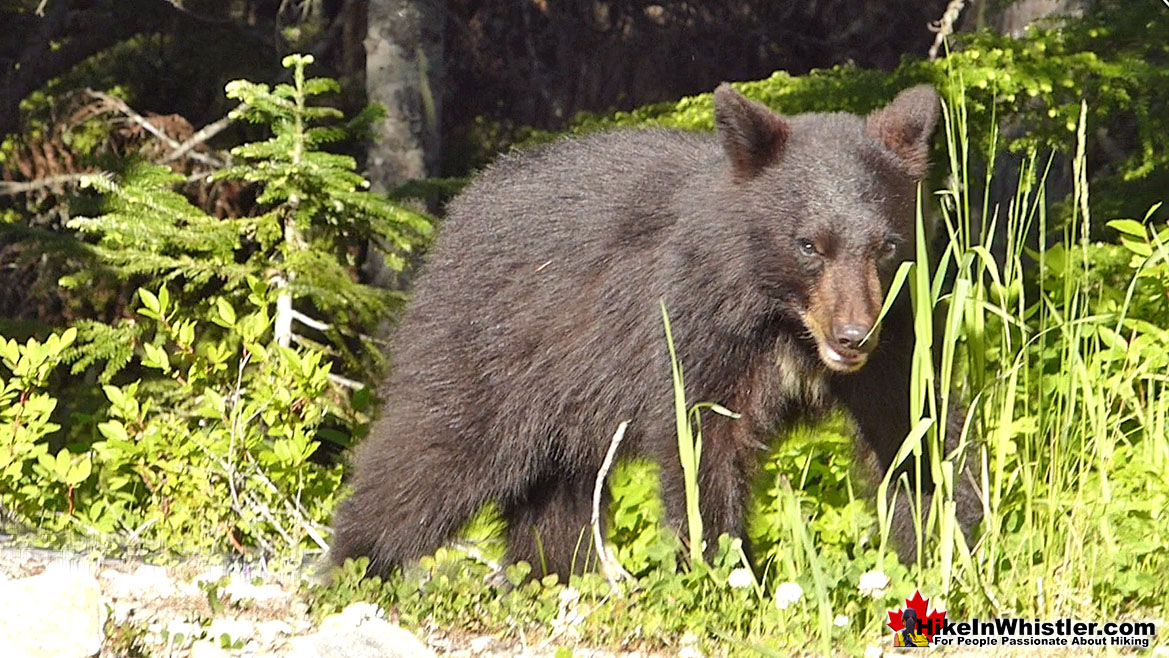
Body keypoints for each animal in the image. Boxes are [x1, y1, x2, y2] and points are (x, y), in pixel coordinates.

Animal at [329, 81, 977, 577]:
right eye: (808, 244)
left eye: (886, 246)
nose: (851, 336)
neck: (783, 322)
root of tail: (458, 208)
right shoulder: (694, 326)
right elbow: (704, 444)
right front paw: (722, 572)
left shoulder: (901, 330)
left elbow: (918, 431)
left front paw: (953, 552)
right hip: (489, 350)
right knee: (435, 448)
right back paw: (354, 565)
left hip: (565, 393)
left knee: (558, 490)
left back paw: (549, 572)